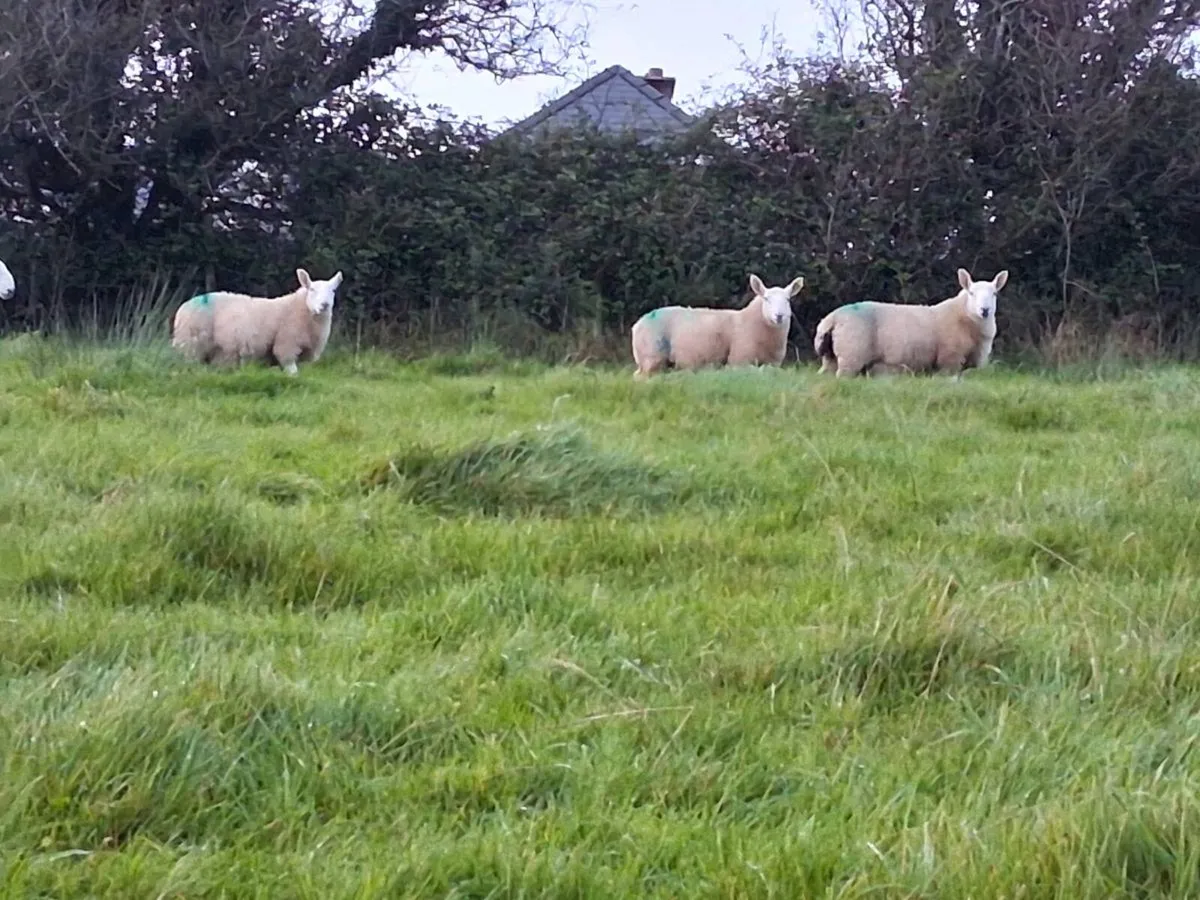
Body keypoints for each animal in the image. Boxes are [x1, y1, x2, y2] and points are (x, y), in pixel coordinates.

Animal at [172, 268, 343, 375]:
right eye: (312, 290)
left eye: (333, 290)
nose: (324, 305)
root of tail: (183, 307)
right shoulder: (286, 346)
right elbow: (293, 372)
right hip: (191, 345)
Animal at [631, 273, 805, 379]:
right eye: (766, 299)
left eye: (788, 300)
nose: (779, 316)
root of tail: (637, 324)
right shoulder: (738, 361)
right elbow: (762, 371)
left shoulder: (773, 362)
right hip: (652, 355)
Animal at [813, 267, 1009, 378]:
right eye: (972, 293)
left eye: (994, 294)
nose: (985, 310)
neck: (963, 316)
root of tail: (831, 319)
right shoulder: (949, 360)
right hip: (851, 356)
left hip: (830, 358)